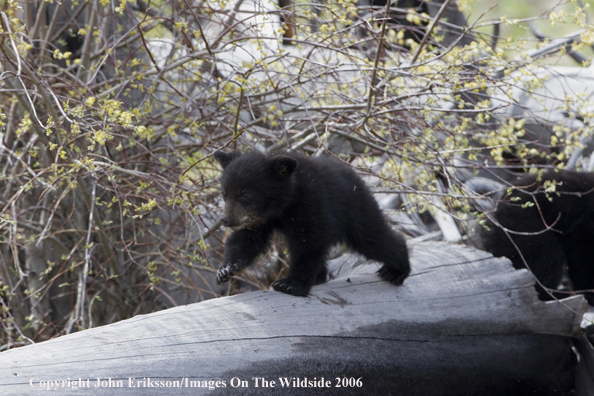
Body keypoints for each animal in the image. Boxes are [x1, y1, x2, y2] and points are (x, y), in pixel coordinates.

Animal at [213, 150, 412, 296]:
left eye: (245, 194)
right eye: (224, 194)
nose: (225, 220)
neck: (283, 204)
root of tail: (356, 176)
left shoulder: (310, 201)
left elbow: (308, 242)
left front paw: (290, 284)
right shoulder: (259, 219)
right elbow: (246, 239)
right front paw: (227, 269)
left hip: (355, 208)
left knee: (372, 238)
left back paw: (395, 270)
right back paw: (320, 276)